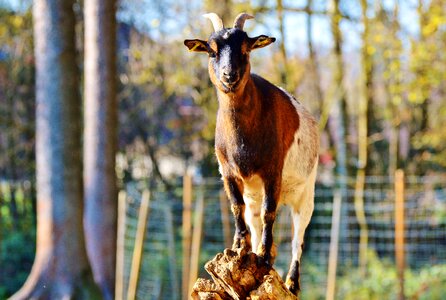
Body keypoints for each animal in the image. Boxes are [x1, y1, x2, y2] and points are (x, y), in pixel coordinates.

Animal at [183, 12, 318, 294]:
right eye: (212, 51)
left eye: (245, 49)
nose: (229, 75)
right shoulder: (228, 173)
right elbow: (236, 207)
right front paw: (239, 247)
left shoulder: (272, 172)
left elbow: (270, 212)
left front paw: (265, 256)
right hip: (253, 194)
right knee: (254, 221)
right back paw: (255, 251)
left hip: (306, 193)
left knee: (297, 237)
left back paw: (292, 281)